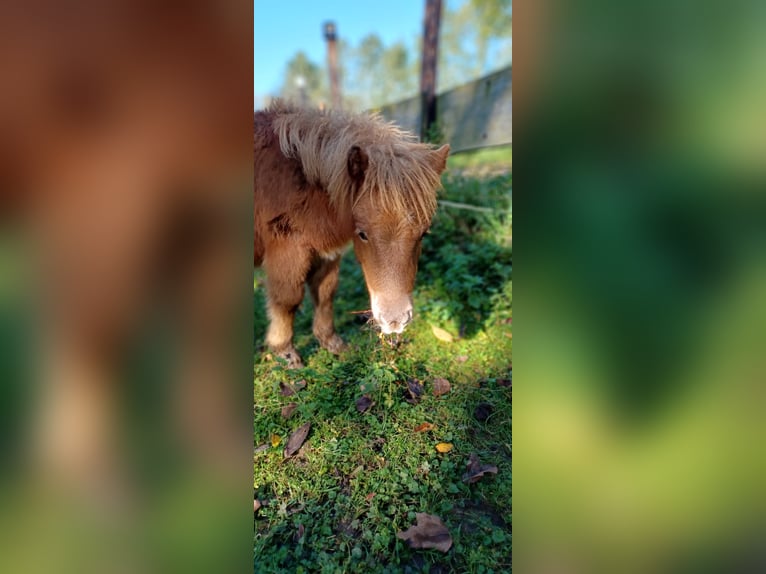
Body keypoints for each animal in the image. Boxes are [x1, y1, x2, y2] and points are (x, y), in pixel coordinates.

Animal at [255, 100, 452, 368]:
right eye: (363, 234)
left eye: (423, 234)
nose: (394, 322)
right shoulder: (287, 250)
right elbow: (288, 299)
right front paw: (286, 353)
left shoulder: (325, 253)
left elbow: (325, 293)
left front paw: (333, 344)